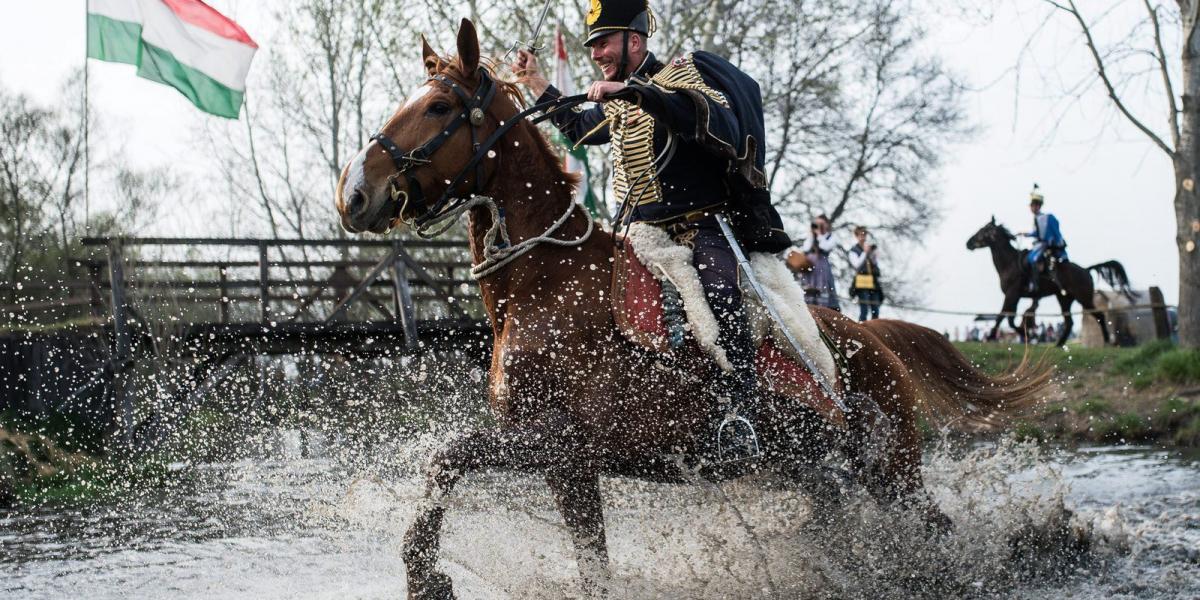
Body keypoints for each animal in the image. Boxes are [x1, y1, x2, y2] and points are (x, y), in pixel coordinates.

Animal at [338, 19, 1051, 600]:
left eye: (437, 107)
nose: (354, 195)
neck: (545, 283)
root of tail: (871, 336)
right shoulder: (569, 467)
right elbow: (589, 563)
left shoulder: (552, 441)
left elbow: (446, 457)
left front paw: (424, 574)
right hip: (814, 470)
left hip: (890, 469)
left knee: (932, 529)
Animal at [964, 218, 1132, 345]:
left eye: (983, 230)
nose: (968, 243)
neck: (1009, 263)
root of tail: (1086, 270)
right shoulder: (1014, 296)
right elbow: (1009, 318)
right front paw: (1026, 334)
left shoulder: (1012, 294)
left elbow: (1003, 315)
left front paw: (994, 336)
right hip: (1064, 298)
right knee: (1069, 322)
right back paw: (1058, 344)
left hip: (1083, 298)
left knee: (1099, 316)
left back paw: (1107, 341)